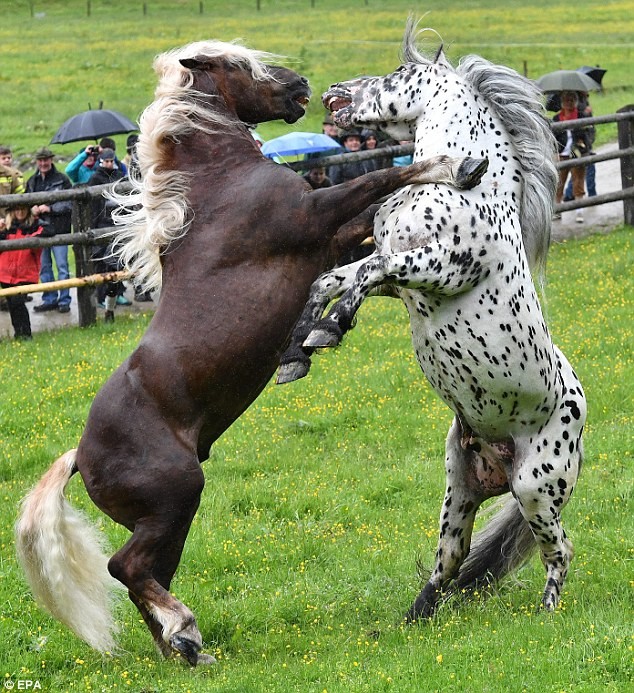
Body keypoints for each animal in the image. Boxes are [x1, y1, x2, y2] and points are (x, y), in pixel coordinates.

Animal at [16, 39, 488, 664]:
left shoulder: (330, 238)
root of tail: (79, 456)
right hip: (177, 494)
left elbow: (371, 226)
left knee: (144, 575)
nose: (303, 88)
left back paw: (184, 648)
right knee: (127, 567)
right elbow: (388, 175)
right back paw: (184, 631)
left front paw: (313, 339)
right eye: (239, 66)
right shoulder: (315, 217)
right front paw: (460, 166)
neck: (220, 186)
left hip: (166, 519)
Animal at [276, 20, 584, 620]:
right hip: (460, 487)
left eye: (399, 73)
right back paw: (410, 622)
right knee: (450, 561)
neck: (467, 184)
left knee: (559, 549)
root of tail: (585, 420)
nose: (333, 91)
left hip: (535, 487)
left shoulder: (439, 268)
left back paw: (547, 613)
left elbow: (357, 273)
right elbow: (340, 278)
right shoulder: (400, 279)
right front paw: (304, 347)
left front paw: (317, 336)